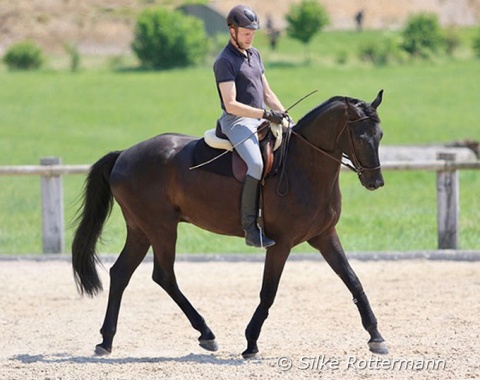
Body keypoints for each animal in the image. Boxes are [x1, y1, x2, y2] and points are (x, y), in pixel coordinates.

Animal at [71, 90, 388, 358]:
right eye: (360, 137)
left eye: (380, 135)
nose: (376, 182)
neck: (304, 166)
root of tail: (124, 154)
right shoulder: (281, 243)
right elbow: (268, 292)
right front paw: (251, 342)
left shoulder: (324, 236)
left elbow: (352, 280)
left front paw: (376, 336)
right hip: (161, 228)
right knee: (164, 276)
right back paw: (206, 333)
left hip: (141, 230)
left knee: (121, 273)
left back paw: (106, 340)